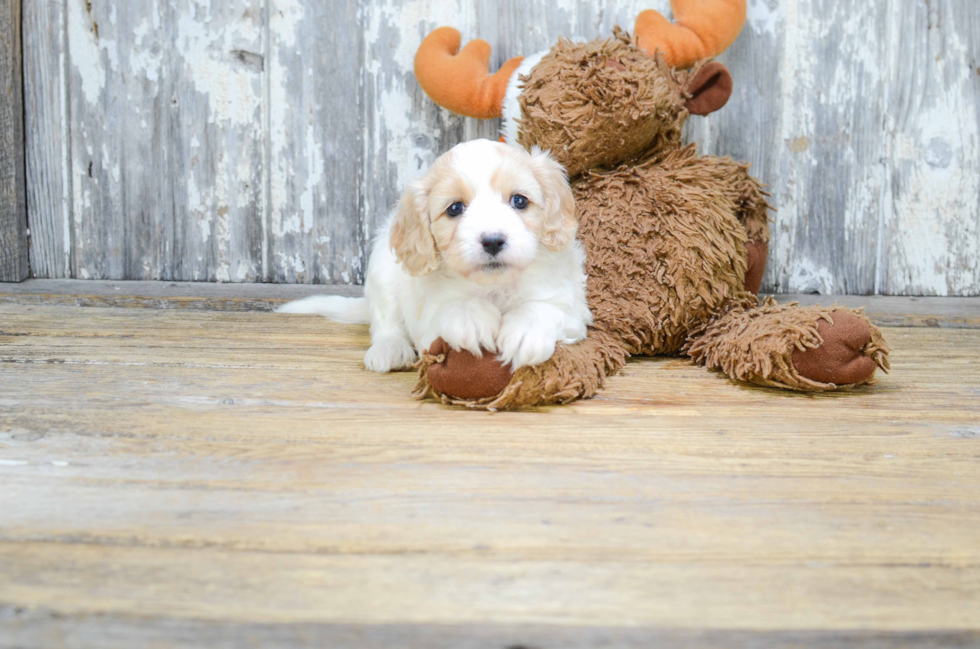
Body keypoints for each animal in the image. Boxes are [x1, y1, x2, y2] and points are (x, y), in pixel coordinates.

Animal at [280, 140, 592, 374]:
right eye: (455, 208)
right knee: (385, 323)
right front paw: (472, 318)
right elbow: (451, 309)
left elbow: (545, 308)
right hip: (381, 271)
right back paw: (389, 350)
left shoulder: (571, 308)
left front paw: (526, 332)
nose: (492, 241)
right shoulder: (428, 325)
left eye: (519, 201)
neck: (493, 286)